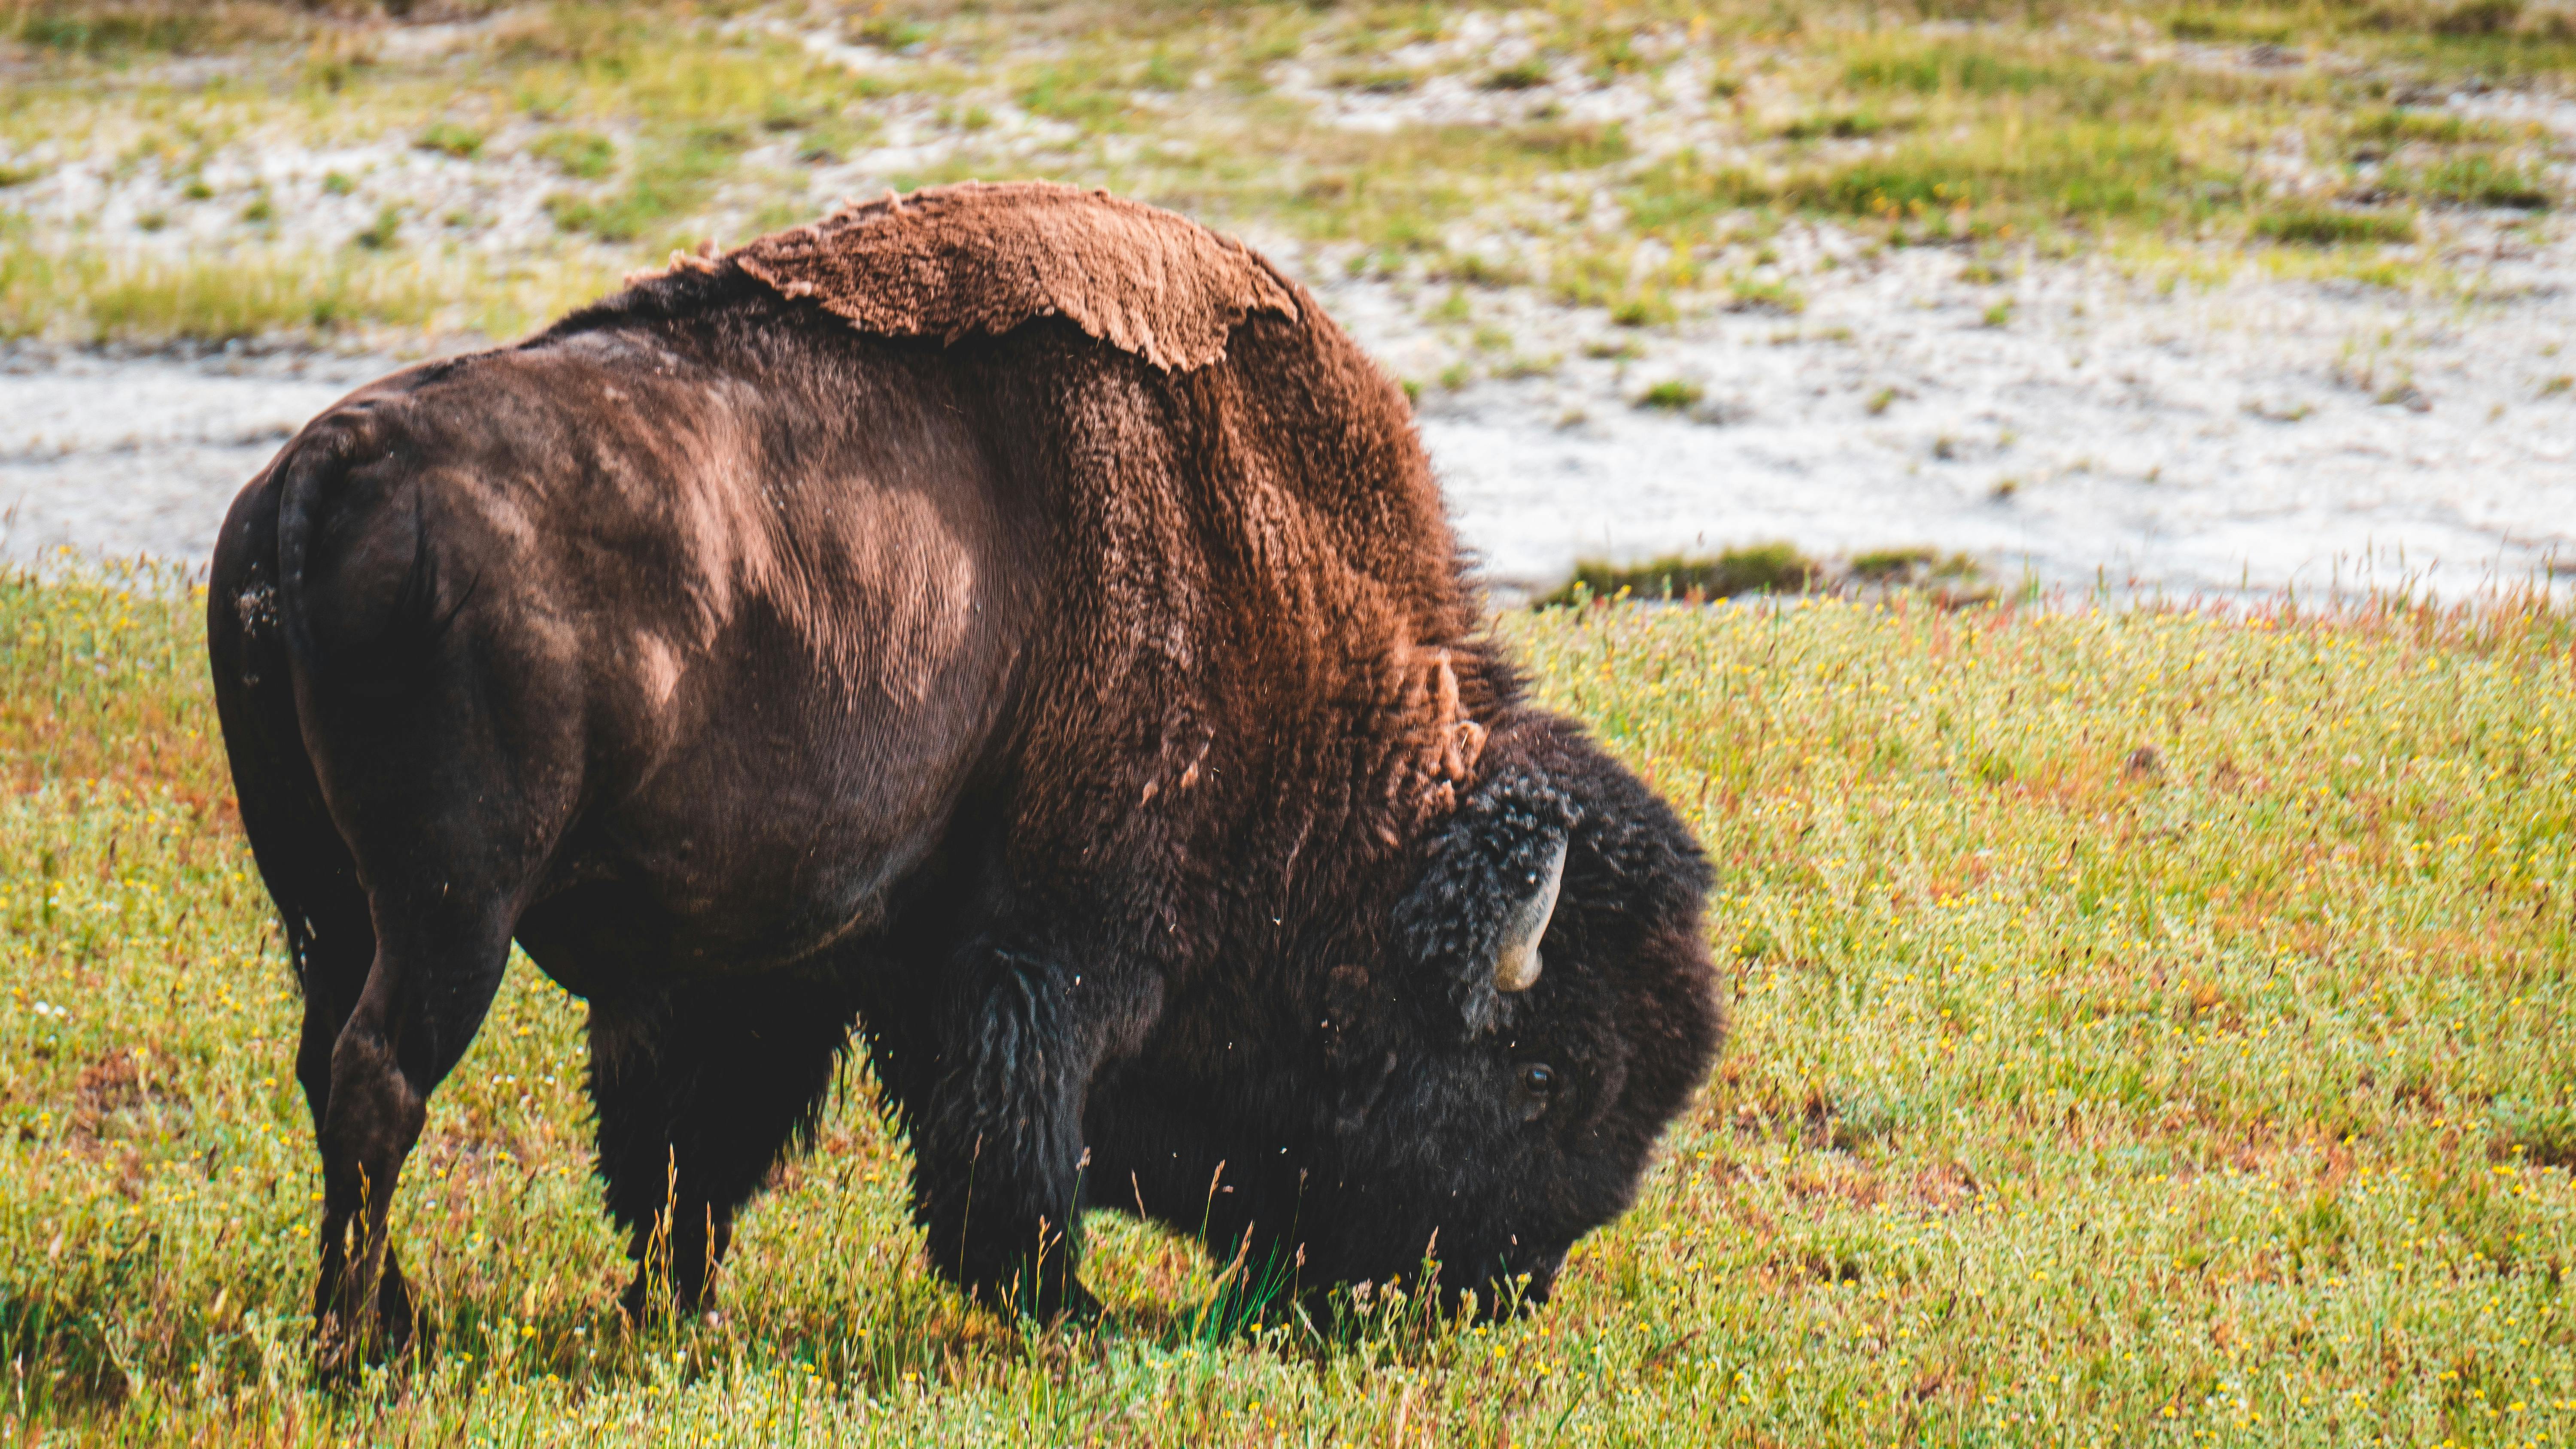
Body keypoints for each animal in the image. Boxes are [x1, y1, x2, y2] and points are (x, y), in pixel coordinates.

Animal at [206, 182, 1722, 1359]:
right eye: (1543, 1075)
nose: (1505, 1286)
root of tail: (324, 467)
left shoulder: (777, 962)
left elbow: (695, 1143)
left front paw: (680, 1308)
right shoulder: (1056, 945)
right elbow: (1010, 1135)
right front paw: (1069, 1311)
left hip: (325, 903)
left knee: (325, 1069)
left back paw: (392, 1317)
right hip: (450, 908)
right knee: (379, 1078)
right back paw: (363, 1346)